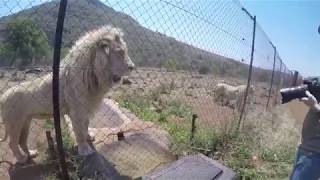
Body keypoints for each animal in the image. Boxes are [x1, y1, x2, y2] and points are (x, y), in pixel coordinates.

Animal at [0, 25, 135, 165]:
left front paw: (89, 136)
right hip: (14, 123)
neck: (94, 76)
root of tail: (3, 97)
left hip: (26, 122)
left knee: (22, 142)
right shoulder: (76, 111)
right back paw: (21, 159)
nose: (133, 67)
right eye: (120, 52)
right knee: (12, 143)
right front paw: (85, 150)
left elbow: (85, 125)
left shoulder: (86, 108)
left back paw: (31, 154)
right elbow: (79, 132)